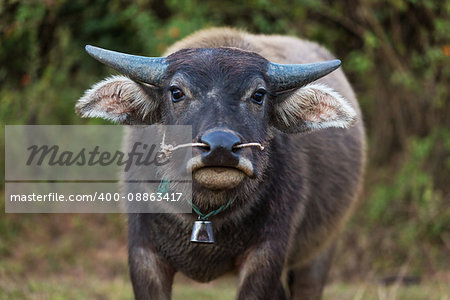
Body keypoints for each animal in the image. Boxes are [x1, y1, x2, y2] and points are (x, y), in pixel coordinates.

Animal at [76, 27, 366, 300]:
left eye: (258, 95)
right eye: (176, 92)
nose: (221, 147)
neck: (204, 214)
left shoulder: (266, 256)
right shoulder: (143, 255)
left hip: (321, 251)